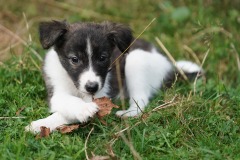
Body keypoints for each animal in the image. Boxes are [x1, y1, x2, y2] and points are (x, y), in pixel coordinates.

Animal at [25, 20, 202, 133]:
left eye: (103, 58)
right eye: (74, 59)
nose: (92, 87)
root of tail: (169, 65)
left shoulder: (101, 95)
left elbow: (65, 114)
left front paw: (41, 124)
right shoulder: (55, 90)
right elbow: (66, 102)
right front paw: (42, 124)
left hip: (135, 60)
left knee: (141, 99)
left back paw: (127, 113)